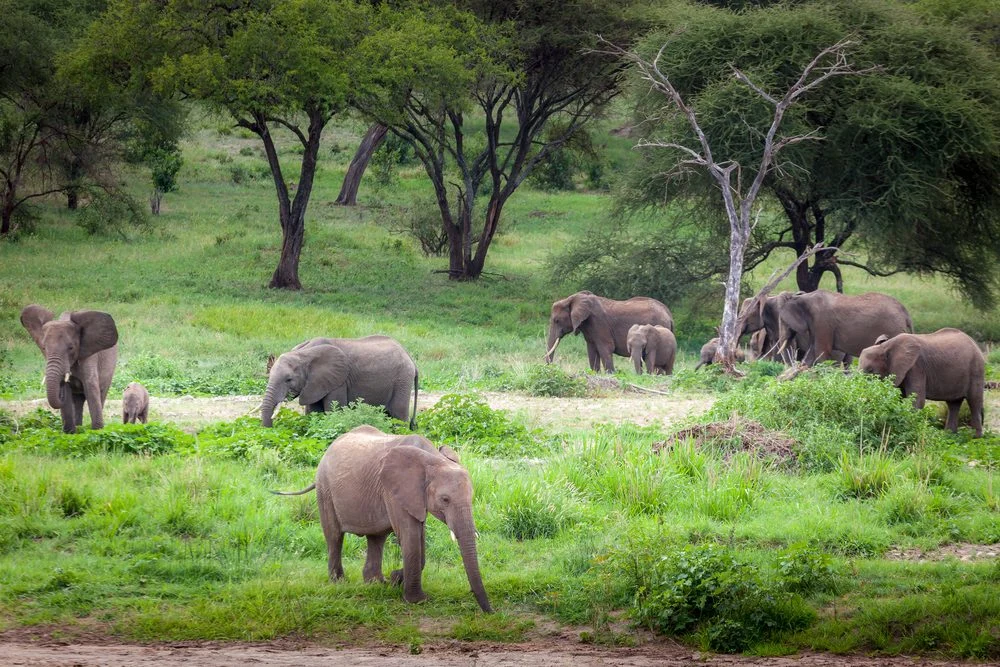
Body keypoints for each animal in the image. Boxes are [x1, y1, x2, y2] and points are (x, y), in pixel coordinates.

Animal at [20, 305, 119, 433]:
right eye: (44, 348)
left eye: (71, 348)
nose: (60, 390)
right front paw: (70, 433)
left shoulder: (89, 357)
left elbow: (91, 387)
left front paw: (97, 431)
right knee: (78, 401)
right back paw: (78, 426)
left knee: (101, 393)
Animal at [261, 336, 418, 429]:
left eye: (288, 380)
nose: (271, 429)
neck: (304, 353)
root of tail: (409, 355)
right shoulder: (314, 383)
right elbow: (313, 412)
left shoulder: (338, 381)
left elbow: (333, 410)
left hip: (403, 379)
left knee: (398, 414)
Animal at [272, 425, 491, 612]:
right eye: (445, 499)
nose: (489, 612)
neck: (433, 458)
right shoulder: (394, 490)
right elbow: (410, 536)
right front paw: (416, 599)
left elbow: (417, 535)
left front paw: (395, 579)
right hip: (325, 488)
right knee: (334, 536)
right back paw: (339, 582)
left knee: (376, 537)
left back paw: (376, 583)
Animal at [545, 291, 673, 373]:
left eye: (556, 321)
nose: (551, 368)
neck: (572, 298)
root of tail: (669, 314)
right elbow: (592, 351)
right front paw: (595, 374)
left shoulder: (599, 323)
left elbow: (605, 348)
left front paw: (610, 374)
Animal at [776, 290, 913, 367]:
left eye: (783, 321)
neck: (804, 298)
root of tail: (905, 313)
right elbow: (812, 352)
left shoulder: (822, 322)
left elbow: (821, 352)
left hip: (893, 330)